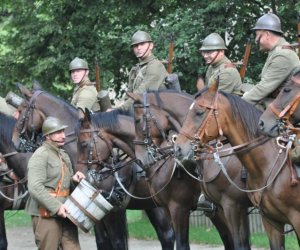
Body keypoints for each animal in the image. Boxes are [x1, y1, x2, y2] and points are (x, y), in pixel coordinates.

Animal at [12, 86, 176, 250]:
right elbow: (102, 241)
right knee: (166, 235)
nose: (14, 141)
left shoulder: (113, 211)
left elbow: (117, 242)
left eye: (21, 110)